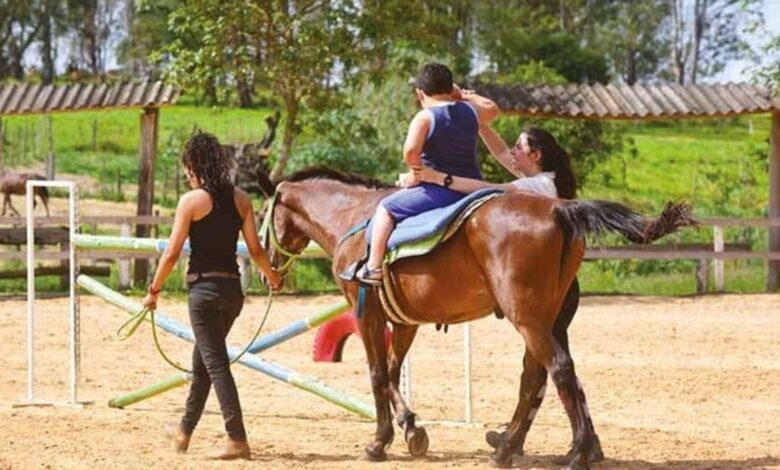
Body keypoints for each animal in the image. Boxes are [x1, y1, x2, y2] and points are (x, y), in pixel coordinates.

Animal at [262, 167, 696, 468]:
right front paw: (412, 429)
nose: (267, 271)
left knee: (557, 370)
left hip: (528, 320)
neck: (354, 216)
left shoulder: (365, 313)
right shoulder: (403, 322)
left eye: (264, 216)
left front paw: (379, 441)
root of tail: (559, 207)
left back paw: (575, 453)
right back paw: (510, 447)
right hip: (545, 319)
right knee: (537, 377)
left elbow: (377, 374)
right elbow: (392, 372)